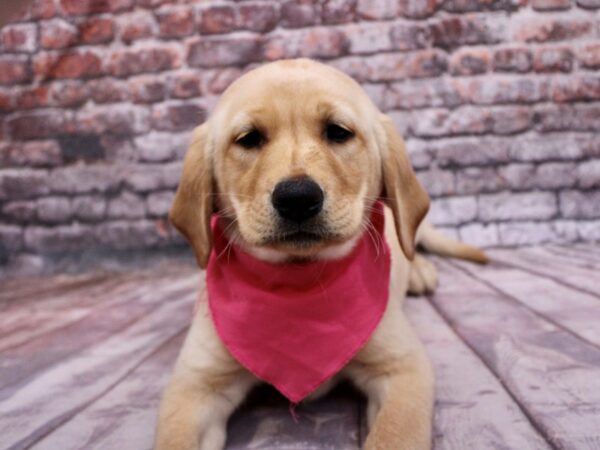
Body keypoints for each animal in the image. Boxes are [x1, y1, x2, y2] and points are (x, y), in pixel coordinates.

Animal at [156, 59, 488, 450]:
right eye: (249, 139)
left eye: (338, 132)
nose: (297, 198)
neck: (300, 280)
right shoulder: (195, 383)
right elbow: (174, 439)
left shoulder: (404, 367)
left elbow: (394, 435)